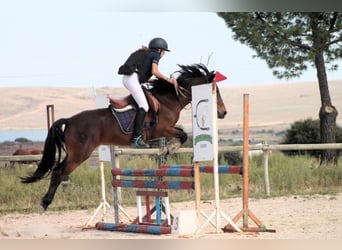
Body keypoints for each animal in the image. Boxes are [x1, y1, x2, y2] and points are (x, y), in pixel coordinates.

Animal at [19, 63, 227, 212]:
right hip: (79, 155)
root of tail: (69, 120)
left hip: (74, 154)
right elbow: (182, 134)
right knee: (58, 173)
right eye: (215, 89)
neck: (169, 100)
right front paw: (170, 148)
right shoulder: (161, 130)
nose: (223, 113)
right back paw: (44, 204)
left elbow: (181, 132)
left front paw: (167, 150)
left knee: (58, 171)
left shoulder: (165, 130)